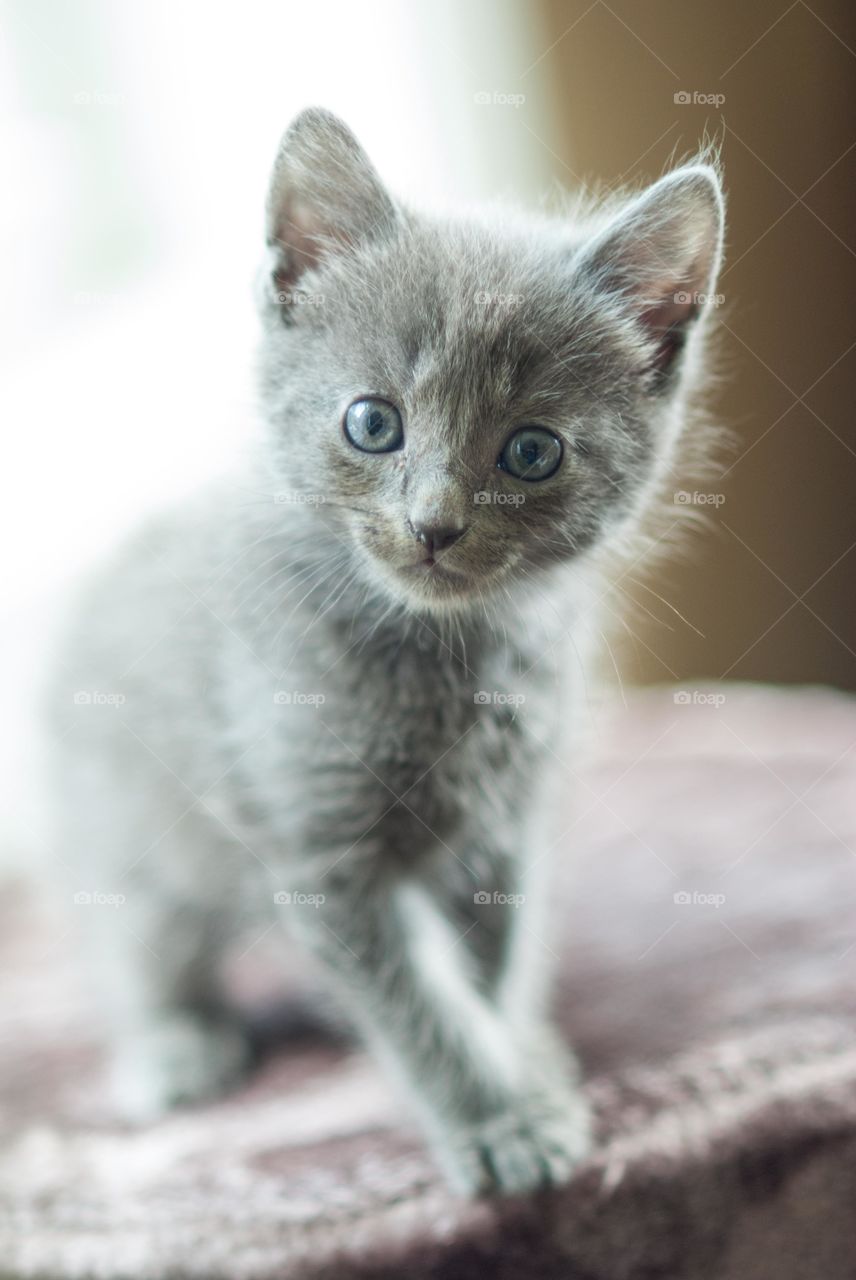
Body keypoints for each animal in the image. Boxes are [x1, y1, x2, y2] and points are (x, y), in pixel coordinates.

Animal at [51, 104, 721, 1192]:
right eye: (372, 422)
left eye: (531, 451)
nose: (434, 525)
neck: (445, 660)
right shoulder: (323, 845)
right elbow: (419, 1002)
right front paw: (499, 1121)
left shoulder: (505, 820)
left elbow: (493, 960)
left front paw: (522, 1056)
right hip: (123, 820)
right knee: (141, 940)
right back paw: (174, 1043)